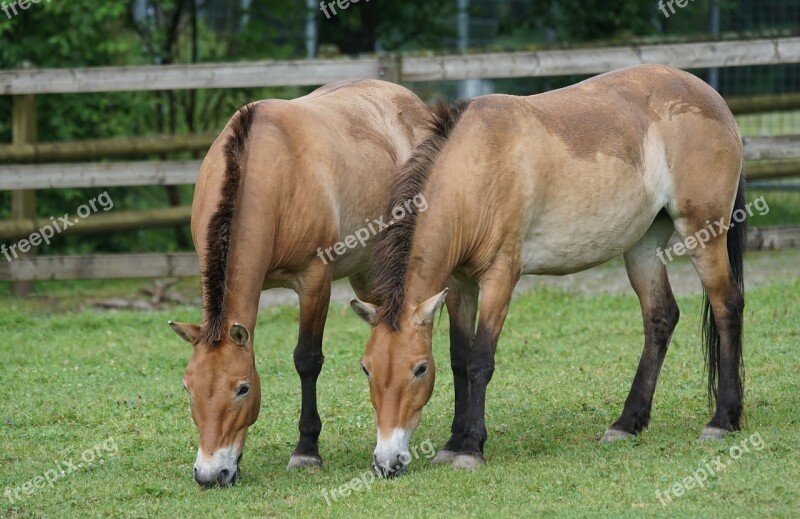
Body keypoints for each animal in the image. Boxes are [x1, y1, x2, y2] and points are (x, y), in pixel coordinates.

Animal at [166, 80, 434, 488]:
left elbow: (307, 359)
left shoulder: (314, 280)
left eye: (242, 389)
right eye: (188, 388)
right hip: (370, 276)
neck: (268, 169)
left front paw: (306, 450)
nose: (210, 475)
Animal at [354, 65, 748, 476]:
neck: (478, 169)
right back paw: (627, 423)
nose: (386, 461)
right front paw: (451, 444)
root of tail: (711, 97)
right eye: (366, 369)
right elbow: (460, 361)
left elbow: (480, 361)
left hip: (704, 233)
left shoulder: (500, 278)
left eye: (418, 369)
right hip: (643, 247)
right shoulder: (460, 286)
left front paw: (470, 448)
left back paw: (722, 420)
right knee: (661, 318)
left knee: (727, 307)